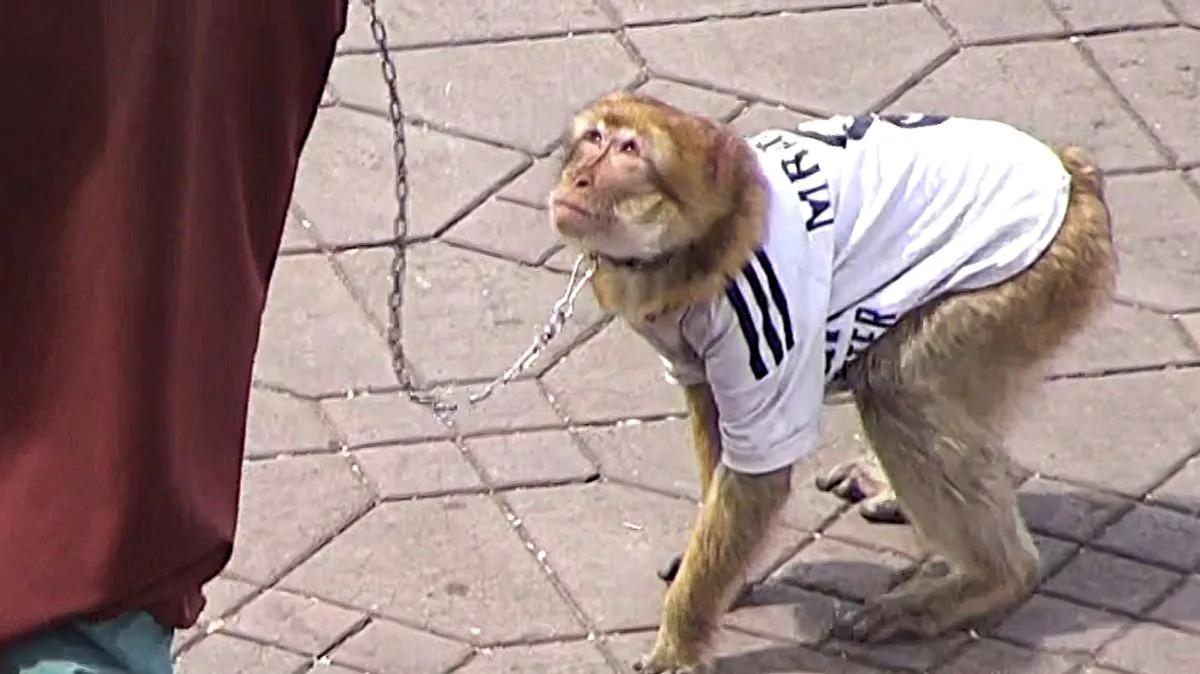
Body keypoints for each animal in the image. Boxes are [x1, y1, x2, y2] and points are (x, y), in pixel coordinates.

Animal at [547, 91, 1116, 673]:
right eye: (594, 138)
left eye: (630, 152)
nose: (581, 178)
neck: (700, 241)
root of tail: (1075, 178)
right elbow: (711, 416)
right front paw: (726, 577)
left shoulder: (762, 320)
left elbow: (759, 475)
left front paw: (681, 640)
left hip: (1019, 284)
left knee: (897, 389)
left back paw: (994, 578)